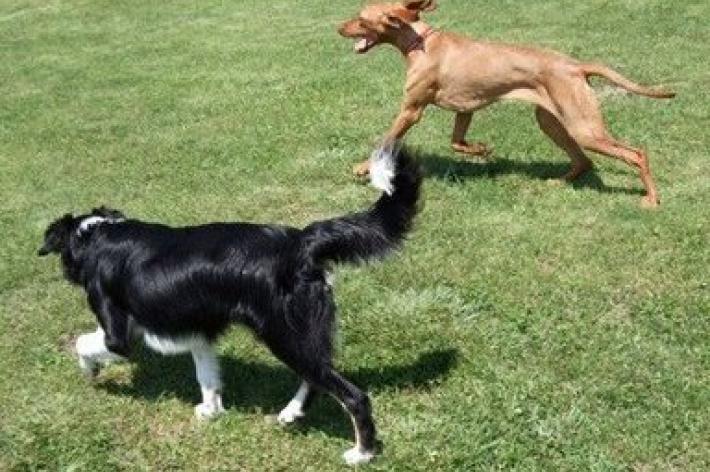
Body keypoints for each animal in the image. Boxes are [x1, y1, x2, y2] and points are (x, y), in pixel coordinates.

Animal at [39, 143, 422, 464]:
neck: (95, 236)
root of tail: (298, 241)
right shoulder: (199, 331)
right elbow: (207, 377)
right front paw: (211, 411)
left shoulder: (119, 333)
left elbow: (83, 343)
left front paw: (90, 371)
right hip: (298, 335)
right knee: (316, 377)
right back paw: (290, 413)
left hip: (283, 334)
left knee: (353, 395)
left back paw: (362, 453)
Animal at [340, 0, 680, 206]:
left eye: (361, 19)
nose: (338, 27)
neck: (420, 42)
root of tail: (575, 65)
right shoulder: (465, 109)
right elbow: (457, 142)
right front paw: (481, 150)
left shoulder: (411, 111)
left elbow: (385, 140)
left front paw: (363, 168)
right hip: (552, 123)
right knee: (584, 161)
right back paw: (559, 183)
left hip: (584, 128)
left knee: (636, 154)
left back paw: (651, 199)